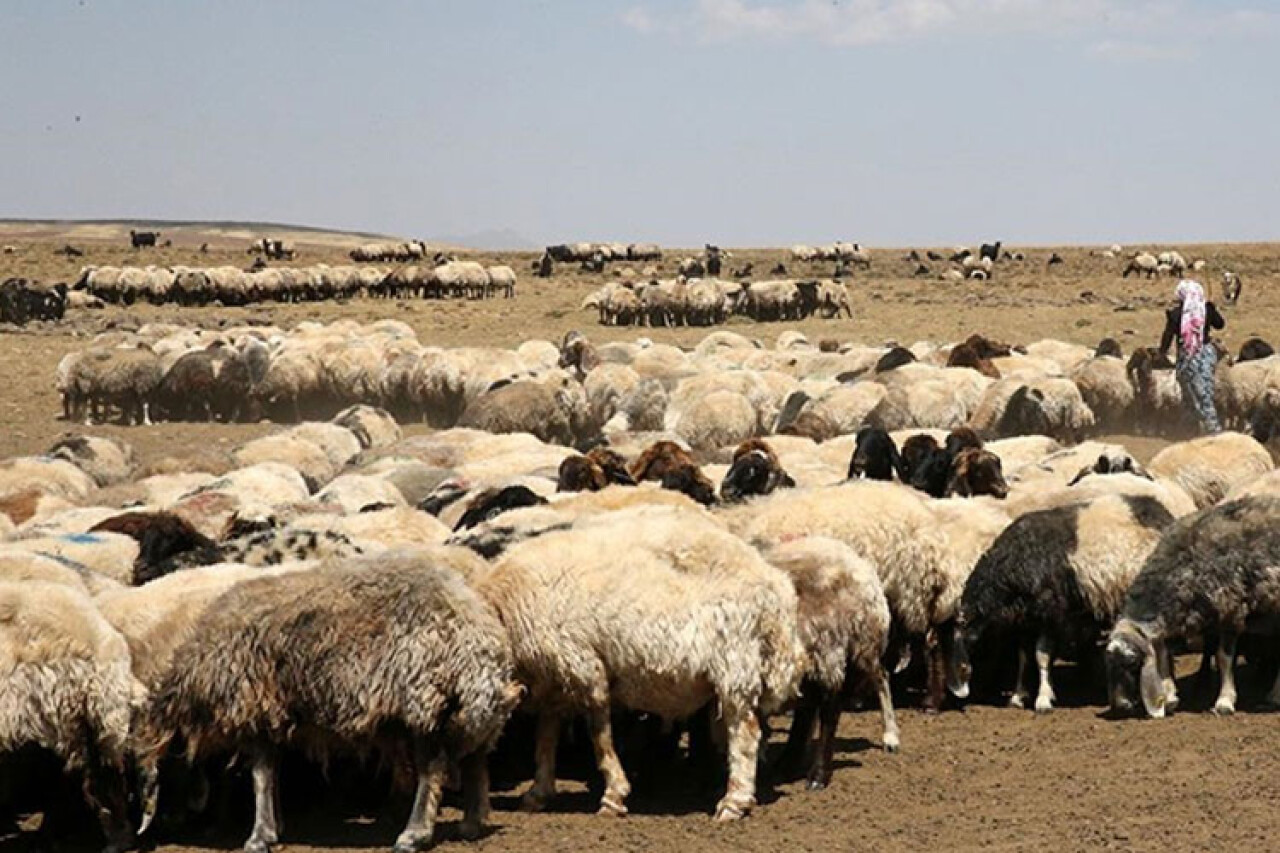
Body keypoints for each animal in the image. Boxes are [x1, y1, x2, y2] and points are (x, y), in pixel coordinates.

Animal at [140, 550, 519, 850]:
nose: (165, 827)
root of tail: (473, 629)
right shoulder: (272, 714)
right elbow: (271, 773)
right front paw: (275, 826)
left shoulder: (254, 709)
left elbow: (261, 776)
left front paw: (260, 835)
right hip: (465, 709)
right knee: (474, 758)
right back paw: (471, 824)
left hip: (423, 699)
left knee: (433, 768)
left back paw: (414, 834)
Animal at [481, 504, 798, 819]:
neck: (505, 610)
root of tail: (777, 586)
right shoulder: (552, 681)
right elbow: (545, 738)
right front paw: (538, 792)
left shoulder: (584, 667)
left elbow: (600, 737)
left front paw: (613, 796)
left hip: (735, 664)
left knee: (745, 734)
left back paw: (733, 802)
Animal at [957, 491, 1172, 712]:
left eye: (974, 647)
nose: (967, 694)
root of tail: (1162, 513)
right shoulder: (1027, 620)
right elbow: (1024, 657)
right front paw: (1018, 696)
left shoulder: (1051, 615)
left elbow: (1041, 655)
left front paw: (1043, 699)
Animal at [1105, 494, 1280, 712]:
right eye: (1108, 663)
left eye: (1132, 661)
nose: (1120, 705)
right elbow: (1164, 653)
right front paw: (1170, 696)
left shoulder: (1232, 611)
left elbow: (1223, 657)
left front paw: (1224, 701)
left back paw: (1274, 696)